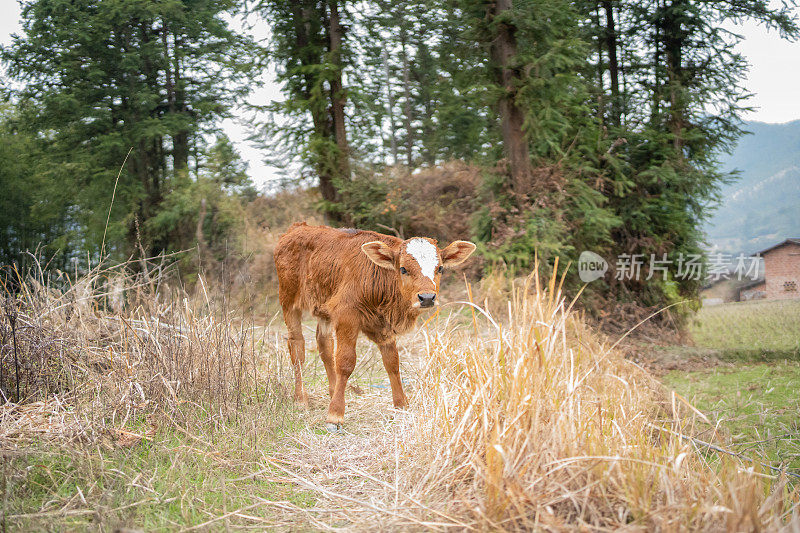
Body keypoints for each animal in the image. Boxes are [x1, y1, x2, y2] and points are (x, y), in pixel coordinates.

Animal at [276, 221, 476, 428]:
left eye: (440, 268)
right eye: (403, 269)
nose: (427, 297)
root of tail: (298, 227)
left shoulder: (384, 326)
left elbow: (392, 362)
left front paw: (401, 405)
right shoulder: (346, 316)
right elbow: (345, 362)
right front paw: (335, 414)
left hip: (323, 309)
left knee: (324, 345)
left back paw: (332, 391)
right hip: (288, 300)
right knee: (297, 346)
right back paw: (301, 399)